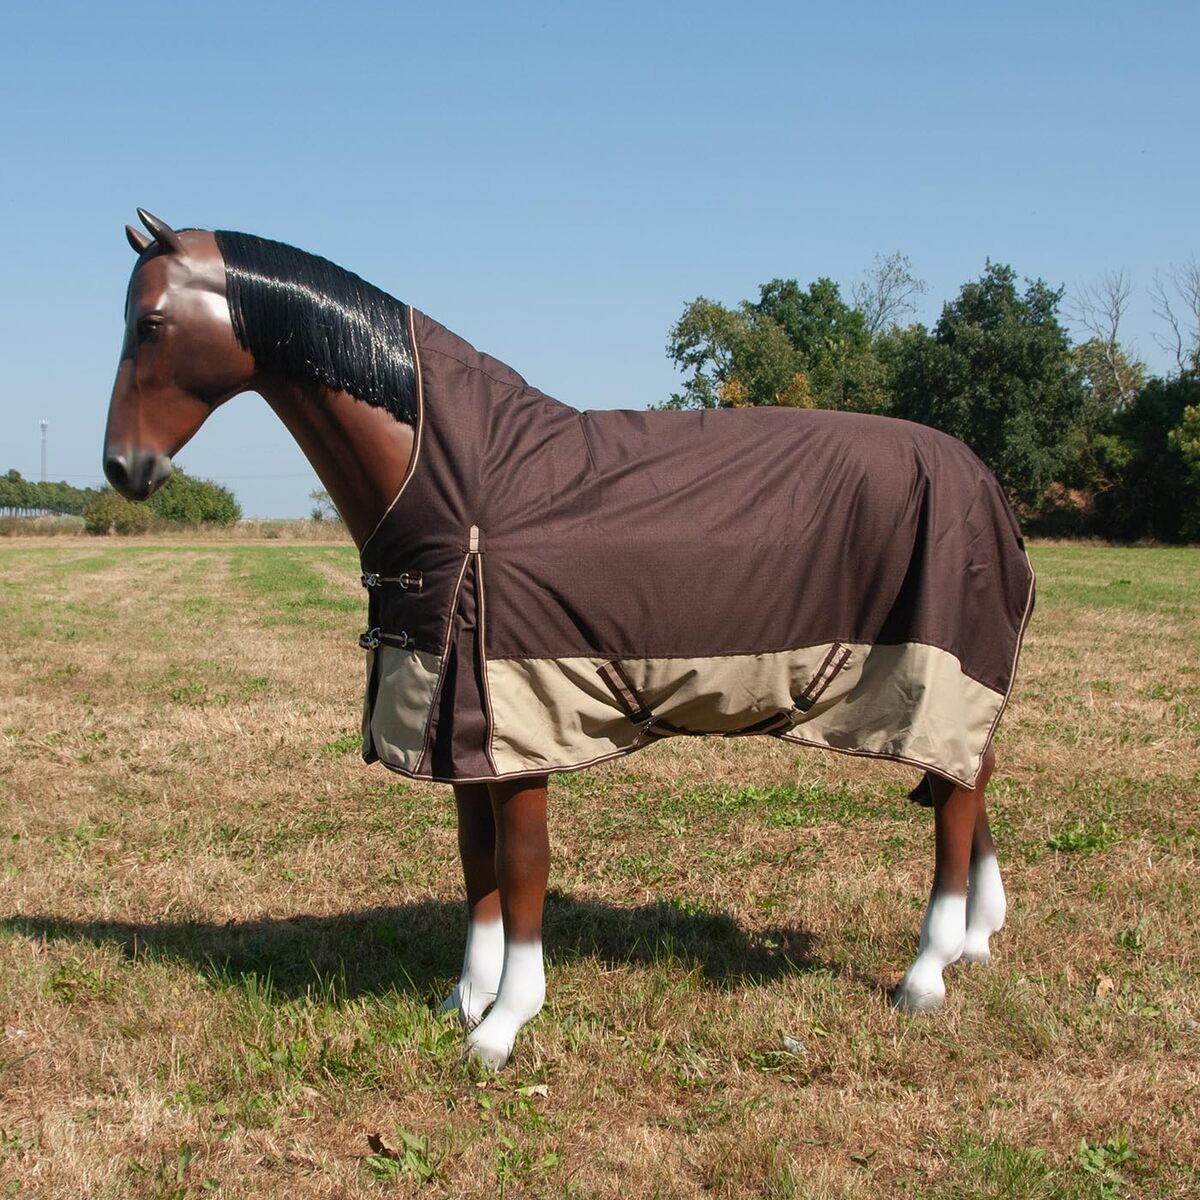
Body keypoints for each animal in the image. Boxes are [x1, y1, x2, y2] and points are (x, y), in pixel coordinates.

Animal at [104, 209, 1035, 1070]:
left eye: (149, 322)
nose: (123, 468)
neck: (466, 493)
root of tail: (984, 480)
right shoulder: (461, 734)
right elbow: (476, 864)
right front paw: (464, 1000)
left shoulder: (519, 726)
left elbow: (521, 868)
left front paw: (505, 1025)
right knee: (969, 778)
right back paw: (978, 939)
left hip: (935, 677)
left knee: (955, 801)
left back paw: (926, 973)